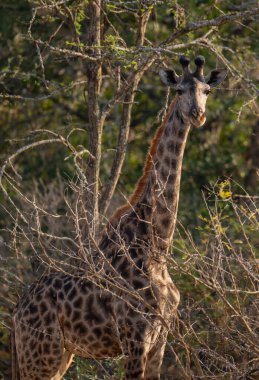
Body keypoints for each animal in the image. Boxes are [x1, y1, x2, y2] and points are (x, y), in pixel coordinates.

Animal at [11, 55, 228, 378]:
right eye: (179, 90)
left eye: (207, 91)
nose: (197, 114)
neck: (156, 246)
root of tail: (15, 313)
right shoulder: (134, 336)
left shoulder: (160, 338)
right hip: (40, 356)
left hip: (60, 356)